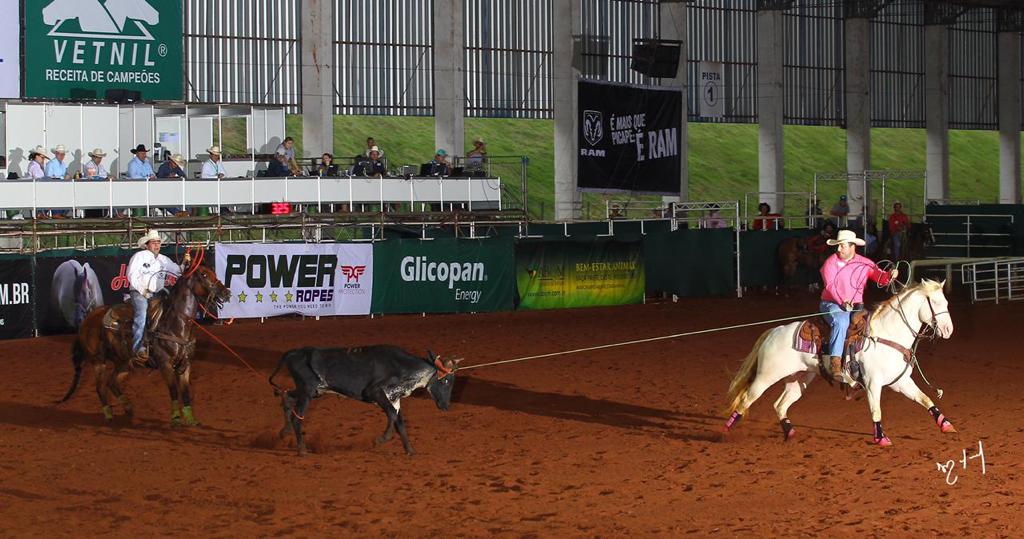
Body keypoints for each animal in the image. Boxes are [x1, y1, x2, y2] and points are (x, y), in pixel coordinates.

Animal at [58, 260, 231, 428]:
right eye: (203, 275)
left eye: (213, 272)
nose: (226, 293)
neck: (176, 323)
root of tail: (87, 319)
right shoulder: (165, 364)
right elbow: (174, 391)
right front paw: (175, 419)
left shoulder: (185, 364)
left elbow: (186, 392)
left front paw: (190, 419)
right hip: (98, 361)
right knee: (100, 387)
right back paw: (108, 415)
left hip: (123, 362)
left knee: (112, 382)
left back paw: (128, 408)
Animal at [724, 278, 954, 448]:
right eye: (936, 303)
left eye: (946, 303)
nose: (948, 330)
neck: (886, 334)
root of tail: (774, 332)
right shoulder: (873, 383)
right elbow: (876, 410)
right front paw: (881, 438)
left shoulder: (901, 382)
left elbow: (925, 399)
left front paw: (945, 424)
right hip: (766, 376)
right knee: (746, 398)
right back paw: (726, 429)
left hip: (799, 379)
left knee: (780, 404)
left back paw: (790, 433)